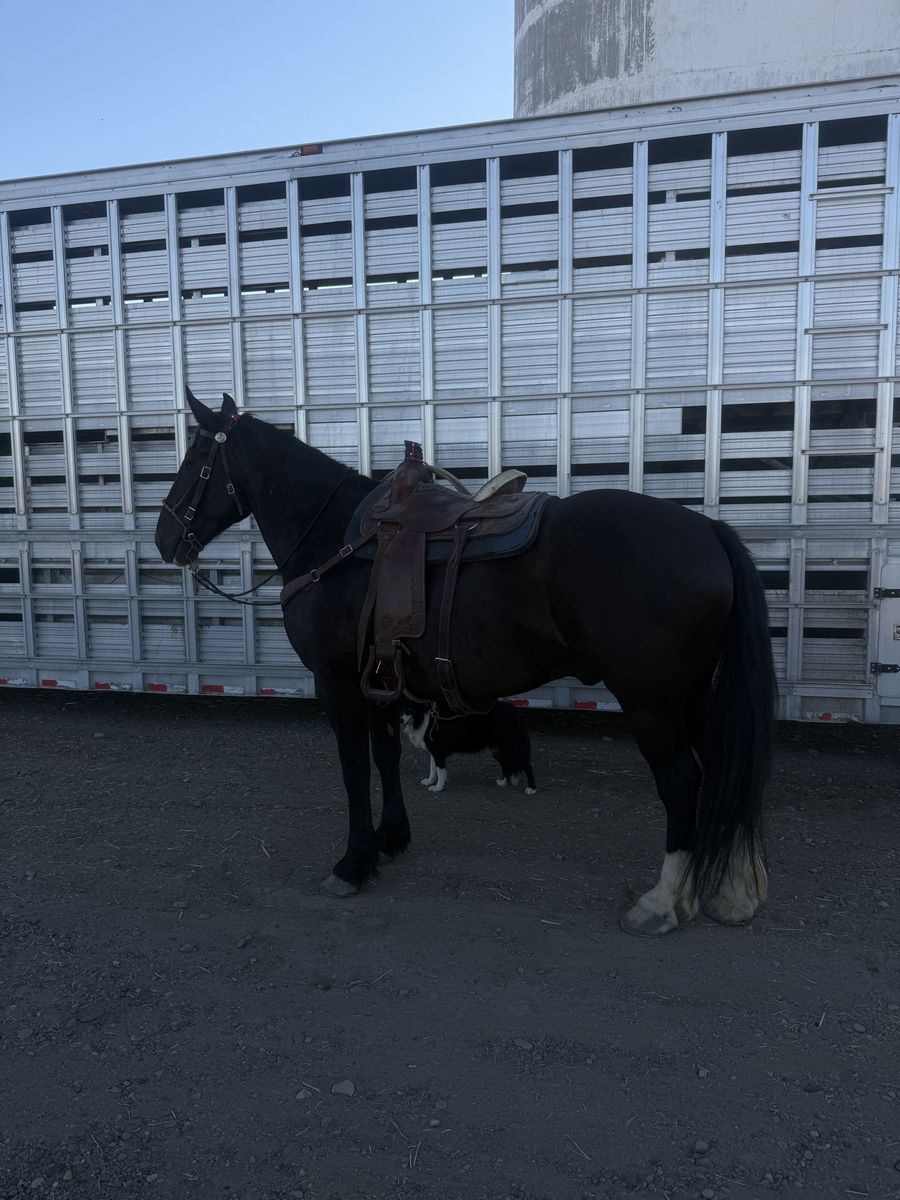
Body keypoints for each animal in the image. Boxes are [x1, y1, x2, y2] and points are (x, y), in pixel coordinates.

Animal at [155, 390, 777, 936]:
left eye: (195, 458)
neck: (334, 541)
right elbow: (385, 759)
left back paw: (663, 902)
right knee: (723, 767)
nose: (164, 537)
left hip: (652, 700)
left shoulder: (338, 684)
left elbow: (354, 770)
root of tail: (708, 530)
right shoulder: (381, 684)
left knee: (682, 781)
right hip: (693, 695)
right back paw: (733, 891)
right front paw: (391, 839)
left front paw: (353, 864)